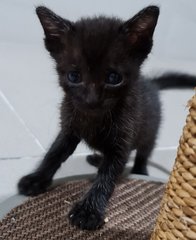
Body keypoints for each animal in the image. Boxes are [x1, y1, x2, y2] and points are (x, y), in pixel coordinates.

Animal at [18, 6, 196, 231]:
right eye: (74, 76)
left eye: (113, 78)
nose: (92, 100)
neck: (95, 119)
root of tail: (152, 83)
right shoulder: (69, 128)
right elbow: (54, 153)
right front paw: (36, 179)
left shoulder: (122, 140)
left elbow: (108, 175)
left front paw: (88, 210)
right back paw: (96, 158)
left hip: (150, 129)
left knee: (144, 151)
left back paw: (140, 170)